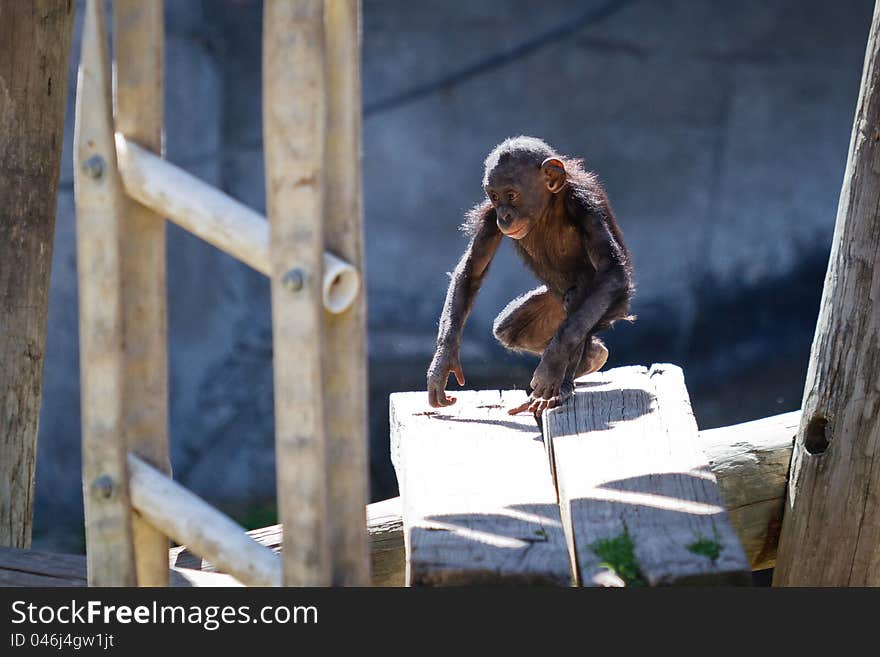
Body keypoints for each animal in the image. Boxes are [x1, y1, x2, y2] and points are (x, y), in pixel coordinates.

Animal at [426, 136, 632, 418]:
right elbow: (471, 270)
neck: (548, 208)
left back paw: (562, 385)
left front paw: (552, 364)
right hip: (549, 305)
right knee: (507, 329)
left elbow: (610, 271)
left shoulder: (587, 208)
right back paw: (592, 356)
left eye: (512, 195)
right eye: (495, 197)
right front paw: (441, 364)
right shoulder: (489, 217)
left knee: (579, 299)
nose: (505, 215)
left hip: (612, 305)